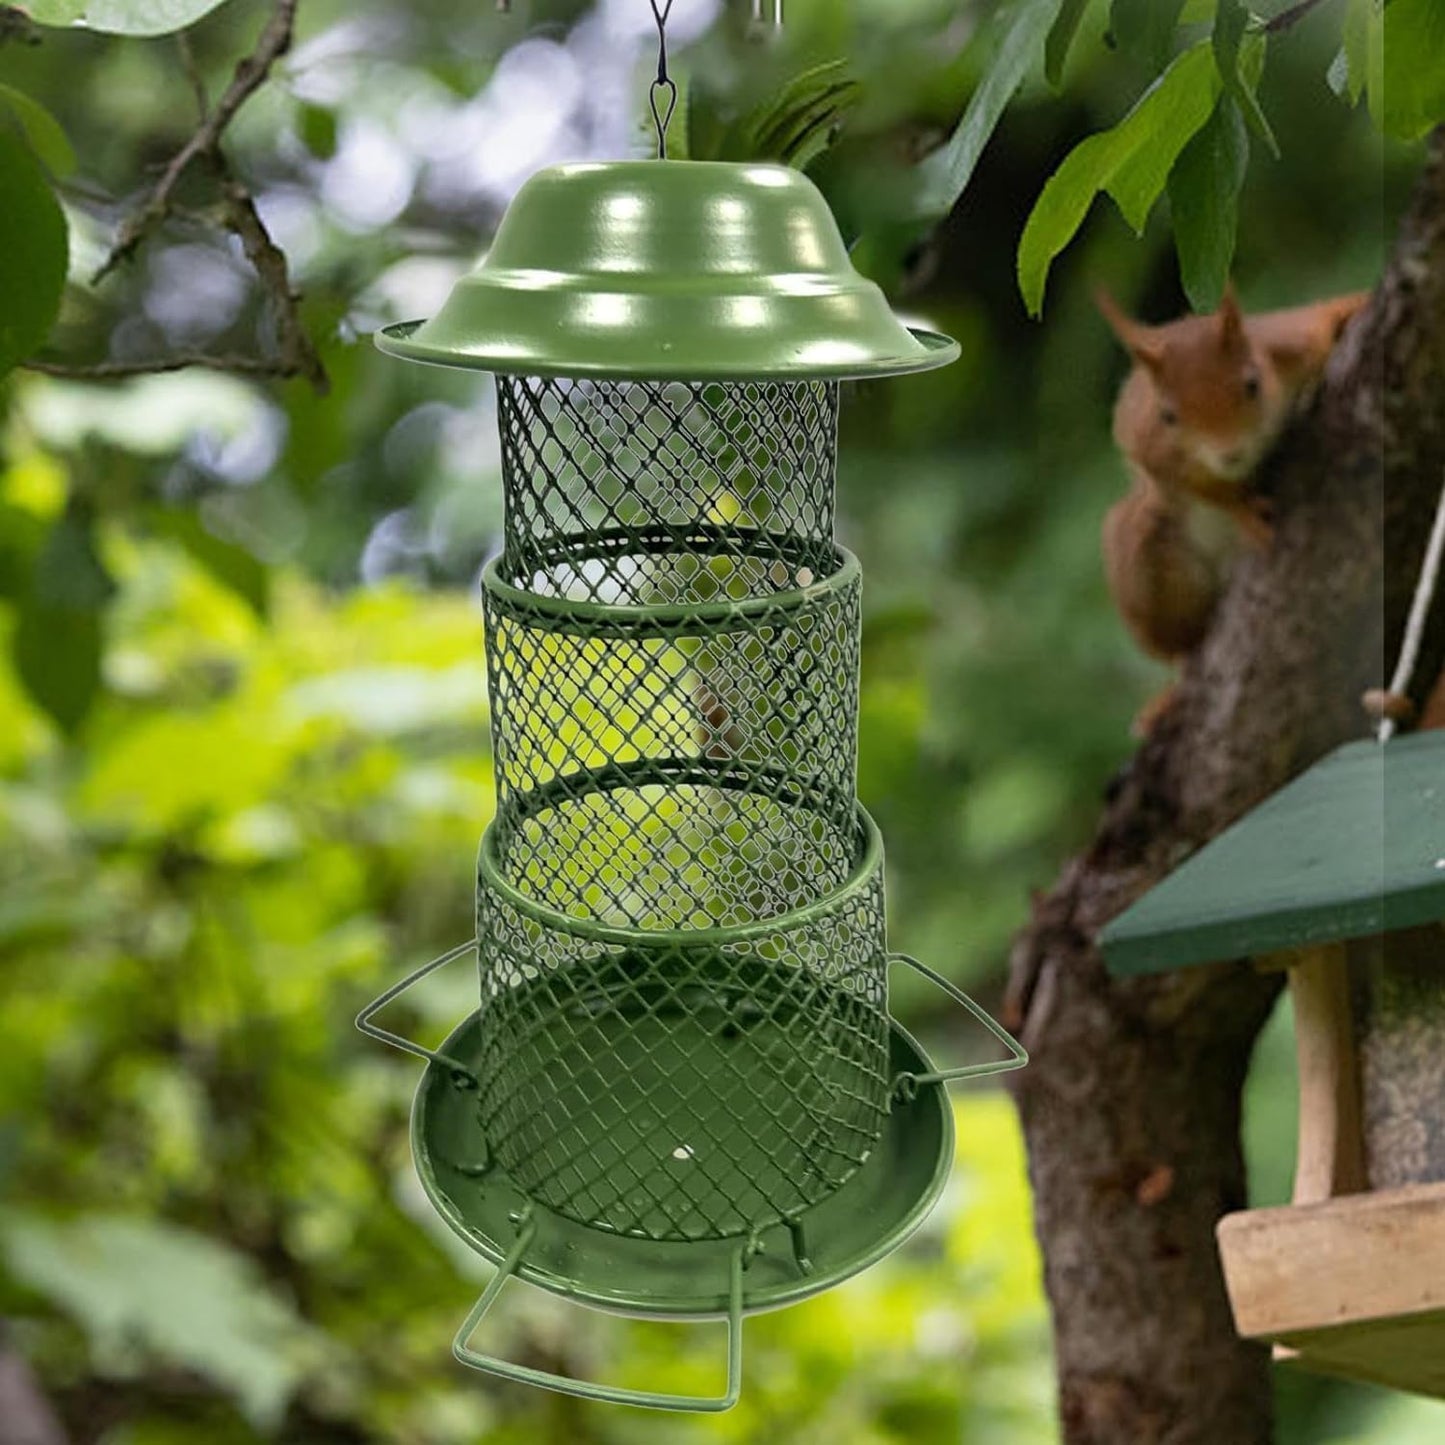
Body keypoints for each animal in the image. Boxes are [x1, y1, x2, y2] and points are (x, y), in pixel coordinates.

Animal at [1098, 283, 1369, 733]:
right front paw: (1242, 508)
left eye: (1252, 385)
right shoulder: (1147, 444)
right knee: (1180, 645)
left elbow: (1325, 317)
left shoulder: (1292, 341)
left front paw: (1356, 306)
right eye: (1168, 415)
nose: (1230, 454)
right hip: (1145, 562)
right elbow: (1190, 483)